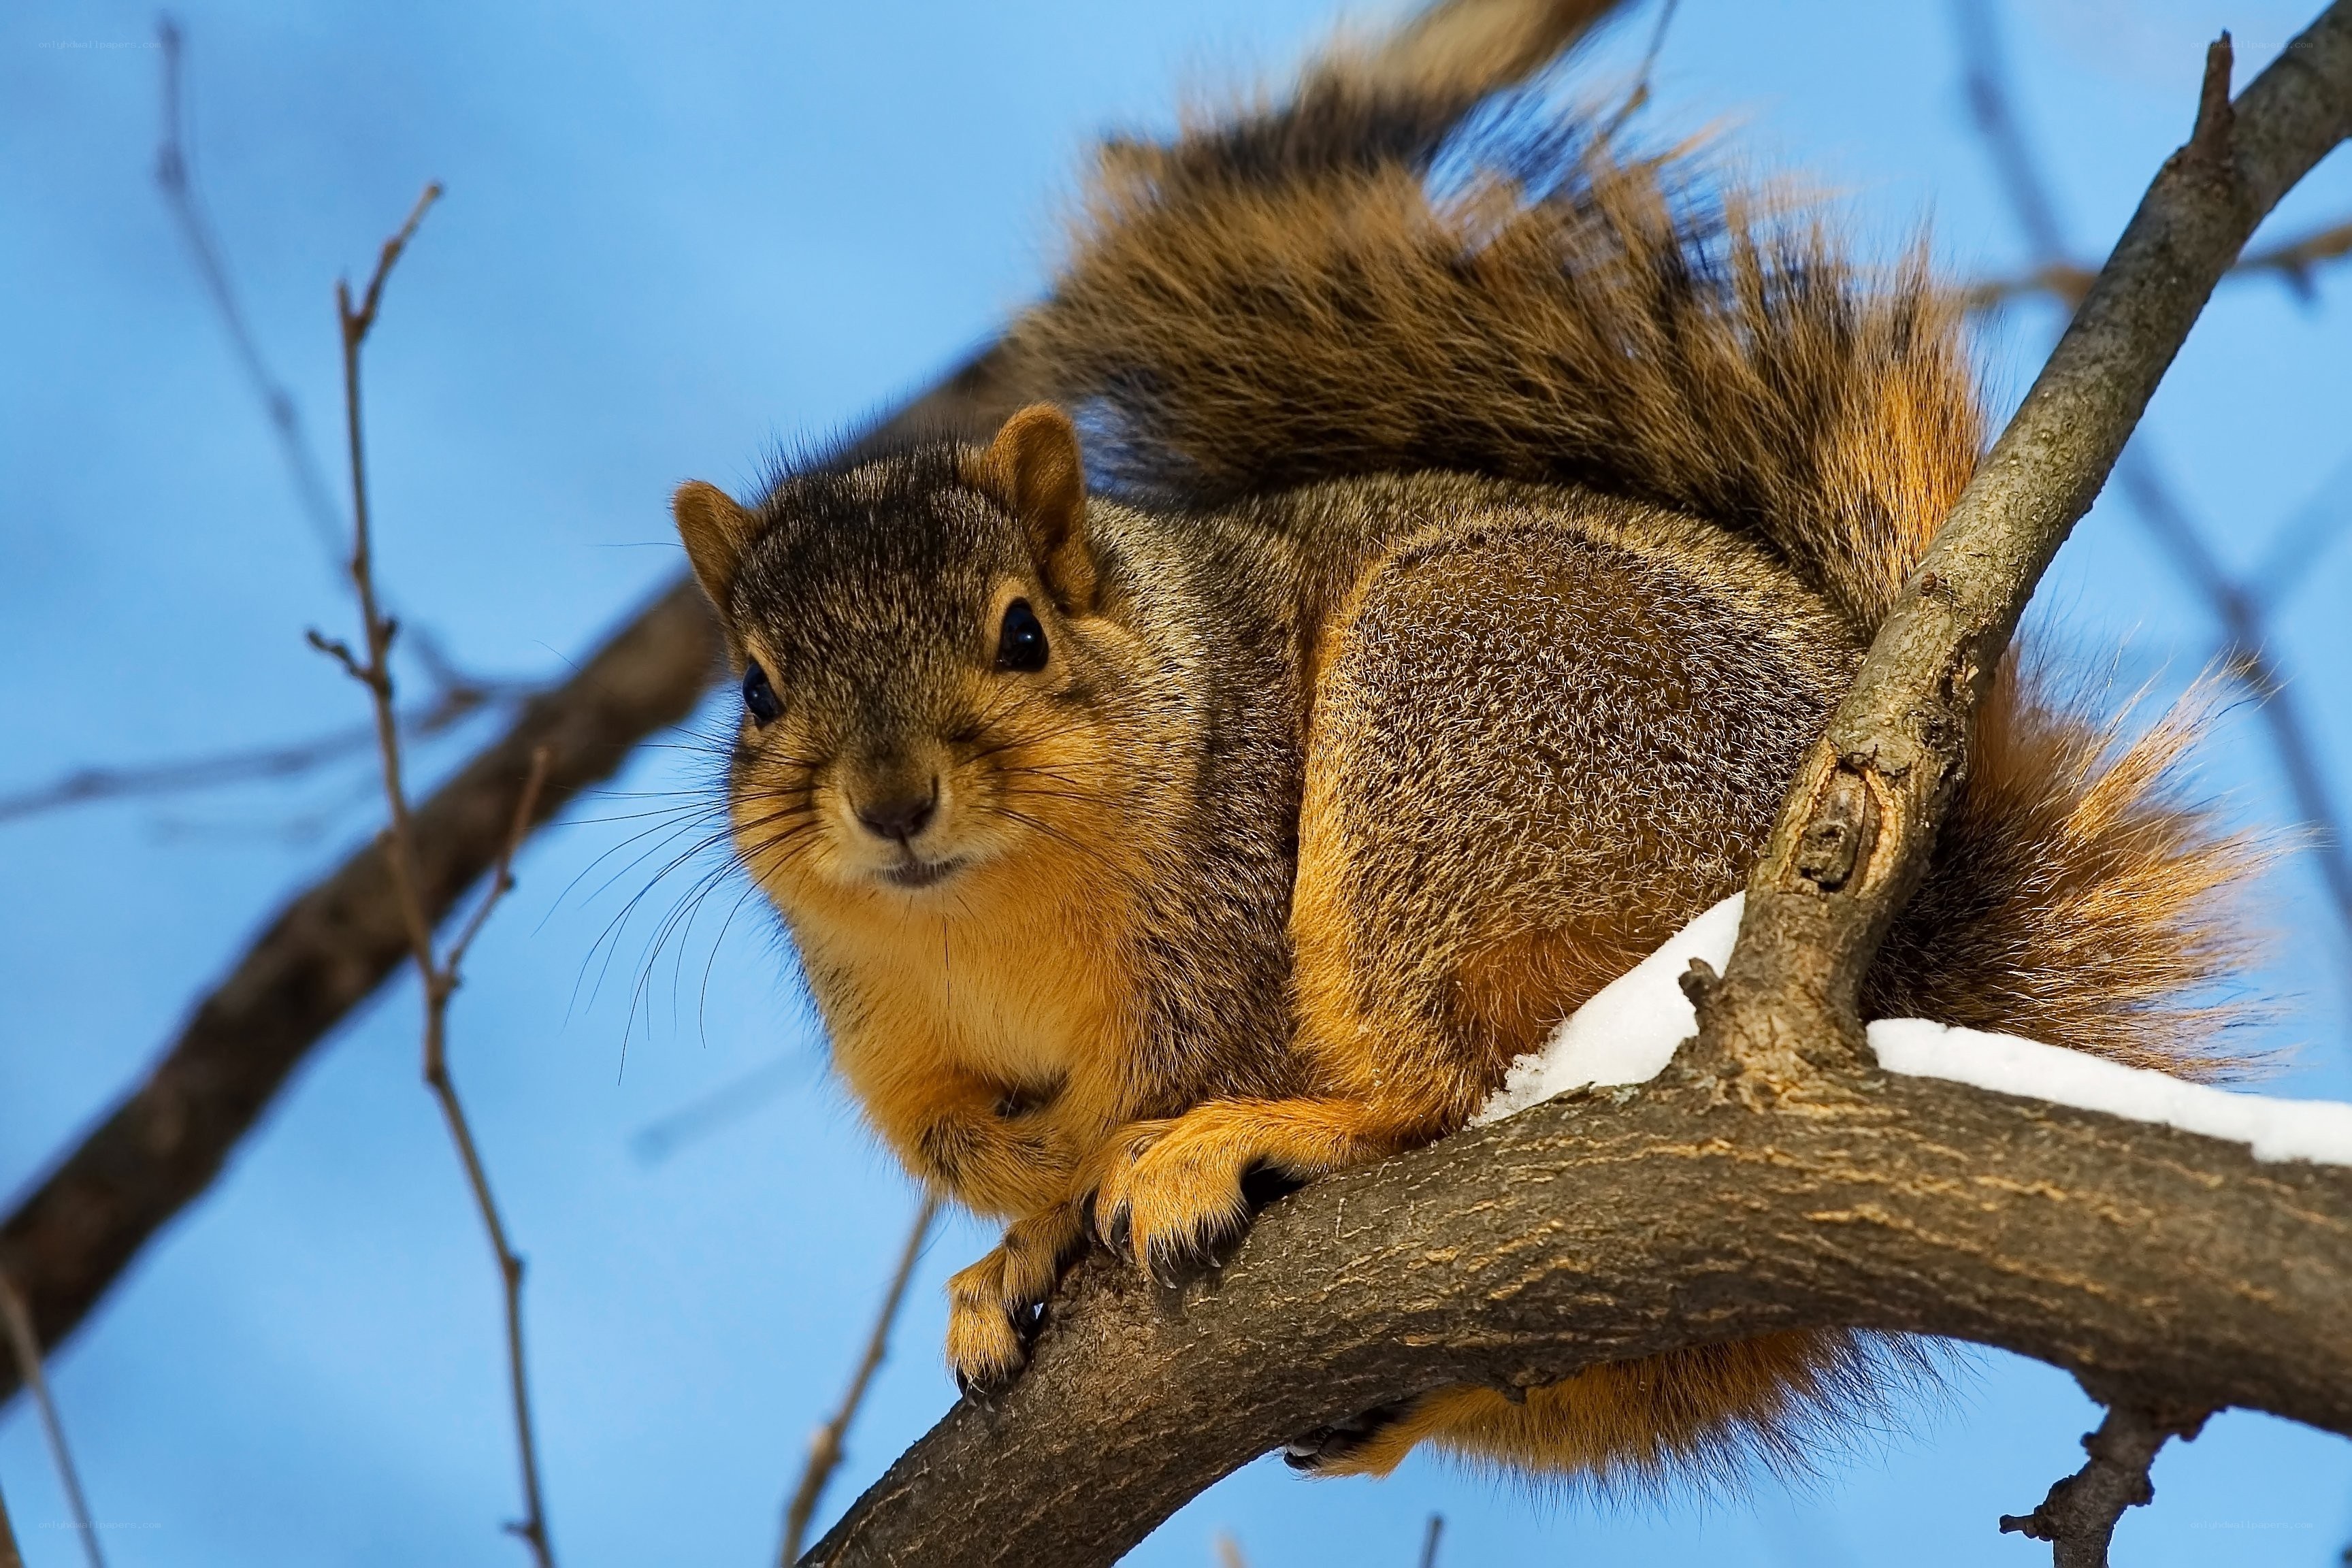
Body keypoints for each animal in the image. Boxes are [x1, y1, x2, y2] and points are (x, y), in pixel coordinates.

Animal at [669, 2, 2255, 1488]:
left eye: (1020, 635)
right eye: (755, 690)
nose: (891, 800)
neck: (980, 929)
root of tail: (1907, 942)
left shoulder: (1224, 904)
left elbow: (1166, 1074)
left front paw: (1069, 1201)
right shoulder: (895, 1034)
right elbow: (961, 1137)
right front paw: (1015, 1231)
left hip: (1455, 713)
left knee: (1432, 1089)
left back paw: (1255, 1142)